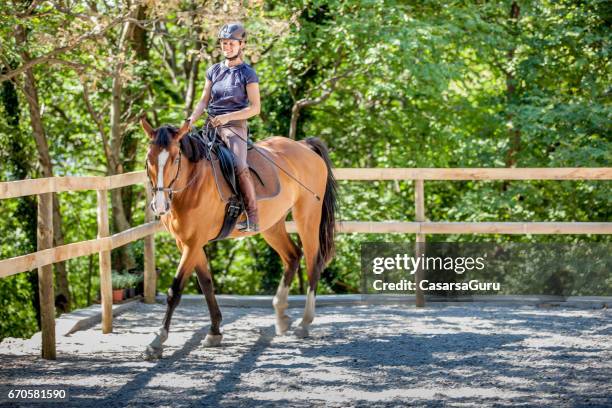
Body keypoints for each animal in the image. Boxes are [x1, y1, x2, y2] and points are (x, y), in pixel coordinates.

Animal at [140, 118, 338, 360]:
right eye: (148, 158)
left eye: (175, 158)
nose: (159, 205)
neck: (193, 184)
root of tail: (303, 146)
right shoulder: (187, 243)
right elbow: (206, 284)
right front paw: (214, 332)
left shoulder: (192, 243)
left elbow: (175, 291)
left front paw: (157, 342)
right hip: (272, 225)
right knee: (293, 256)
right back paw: (281, 317)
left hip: (307, 217)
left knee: (313, 263)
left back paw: (304, 323)